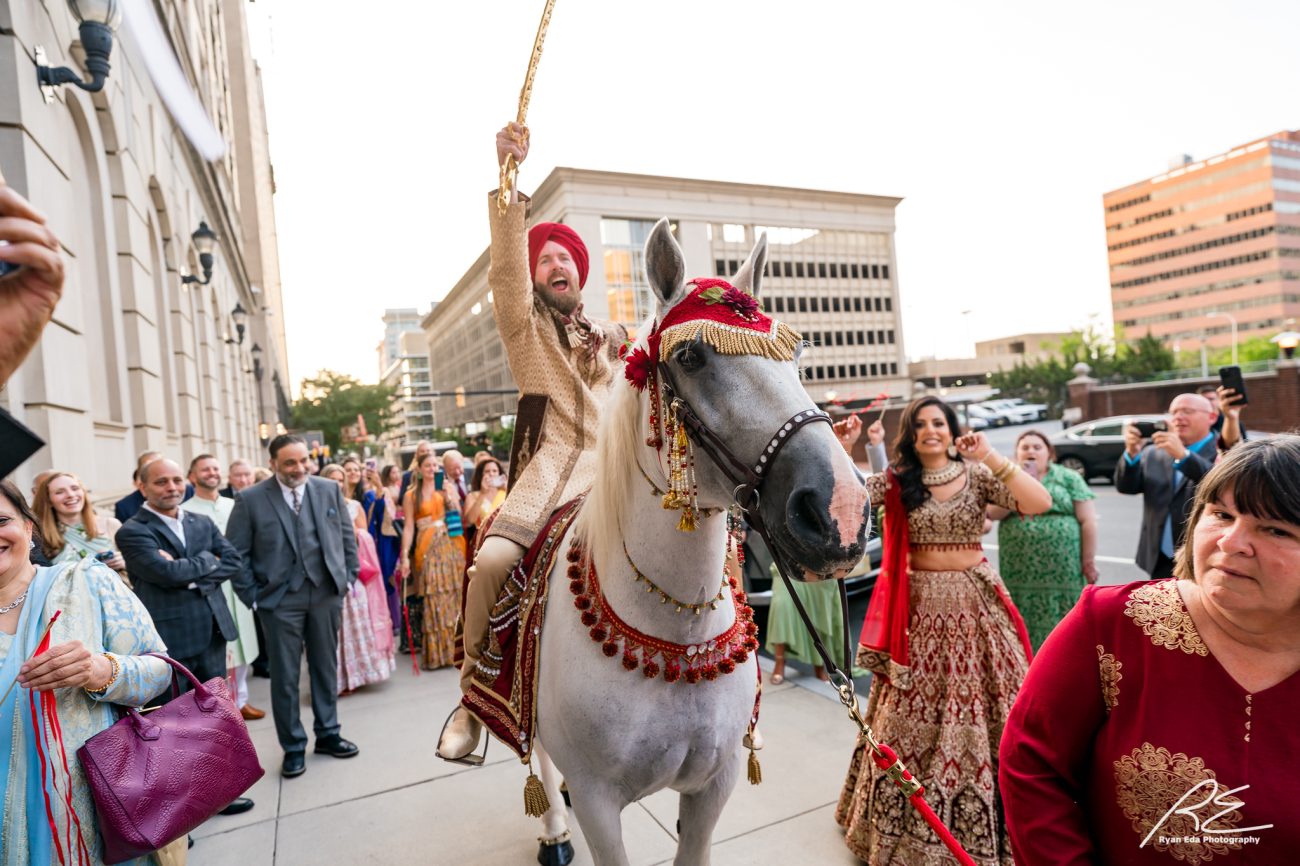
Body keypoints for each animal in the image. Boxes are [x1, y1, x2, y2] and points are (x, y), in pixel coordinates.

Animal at [522, 221, 868, 863]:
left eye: (798, 354)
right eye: (690, 355)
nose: (842, 511)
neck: (675, 628)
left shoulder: (716, 781)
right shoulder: (600, 803)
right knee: (538, 755)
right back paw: (554, 828)